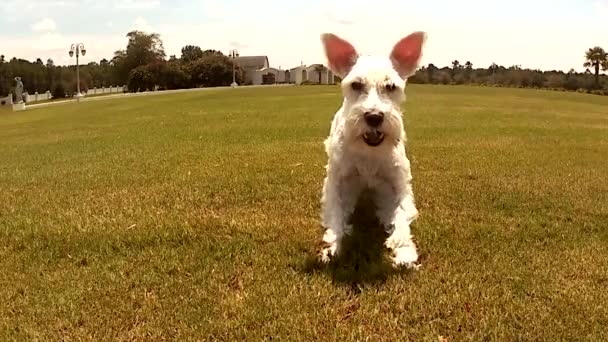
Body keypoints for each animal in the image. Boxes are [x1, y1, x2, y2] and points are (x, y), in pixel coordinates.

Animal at [318, 31, 428, 268]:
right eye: (356, 85)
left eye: (391, 86)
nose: (374, 117)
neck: (369, 153)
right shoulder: (338, 182)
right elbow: (335, 214)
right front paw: (333, 246)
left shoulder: (397, 183)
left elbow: (401, 212)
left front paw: (403, 249)